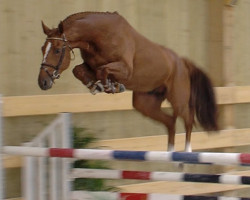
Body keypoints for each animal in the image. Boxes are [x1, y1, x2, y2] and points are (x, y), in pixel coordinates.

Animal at [38, 11, 218, 152]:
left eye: (57, 50)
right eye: (42, 49)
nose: (43, 82)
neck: (99, 36)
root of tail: (182, 62)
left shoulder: (125, 69)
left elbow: (102, 70)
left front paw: (110, 86)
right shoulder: (90, 65)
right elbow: (79, 70)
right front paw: (96, 86)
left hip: (178, 99)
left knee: (188, 118)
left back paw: (186, 153)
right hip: (145, 103)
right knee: (170, 122)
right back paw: (171, 153)